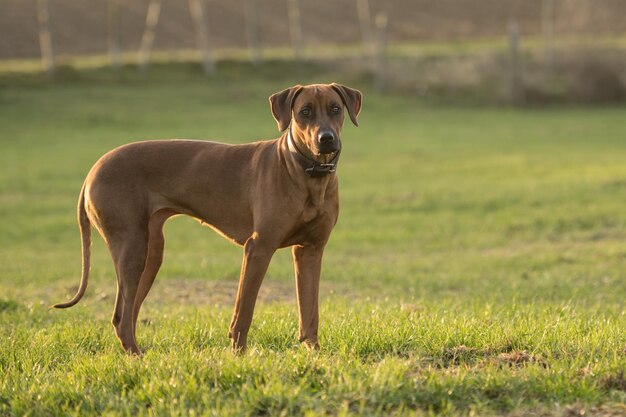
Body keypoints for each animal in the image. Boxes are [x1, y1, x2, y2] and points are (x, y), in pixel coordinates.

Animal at [53, 83, 360, 352]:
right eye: (305, 111)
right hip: (132, 248)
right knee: (121, 316)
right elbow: (244, 312)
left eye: (335, 109)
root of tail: (93, 170)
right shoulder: (258, 248)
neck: (306, 172)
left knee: (128, 315)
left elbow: (310, 314)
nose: (326, 139)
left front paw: (316, 355)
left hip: (151, 253)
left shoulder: (310, 251)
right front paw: (239, 356)